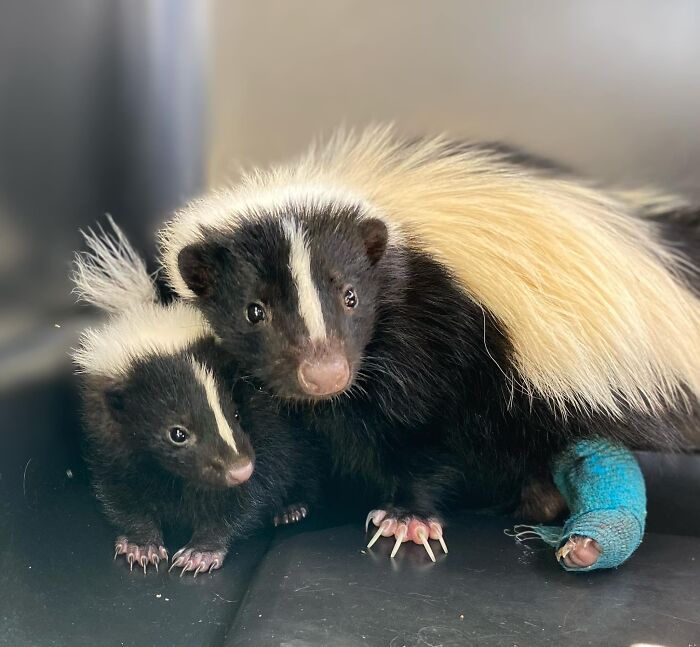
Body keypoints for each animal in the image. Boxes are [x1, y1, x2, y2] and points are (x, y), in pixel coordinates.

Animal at [71, 219, 322, 576]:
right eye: (178, 433)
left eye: (235, 415)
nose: (239, 468)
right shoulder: (107, 437)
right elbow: (121, 493)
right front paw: (141, 545)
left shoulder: (264, 418)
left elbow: (254, 488)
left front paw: (201, 551)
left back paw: (291, 508)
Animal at [157, 126, 700, 560]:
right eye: (254, 310)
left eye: (352, 297)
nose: (326, 374)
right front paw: (286, 501)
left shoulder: (439, 331)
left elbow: (425, 429)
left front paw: (408, 517)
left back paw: (543, 504)